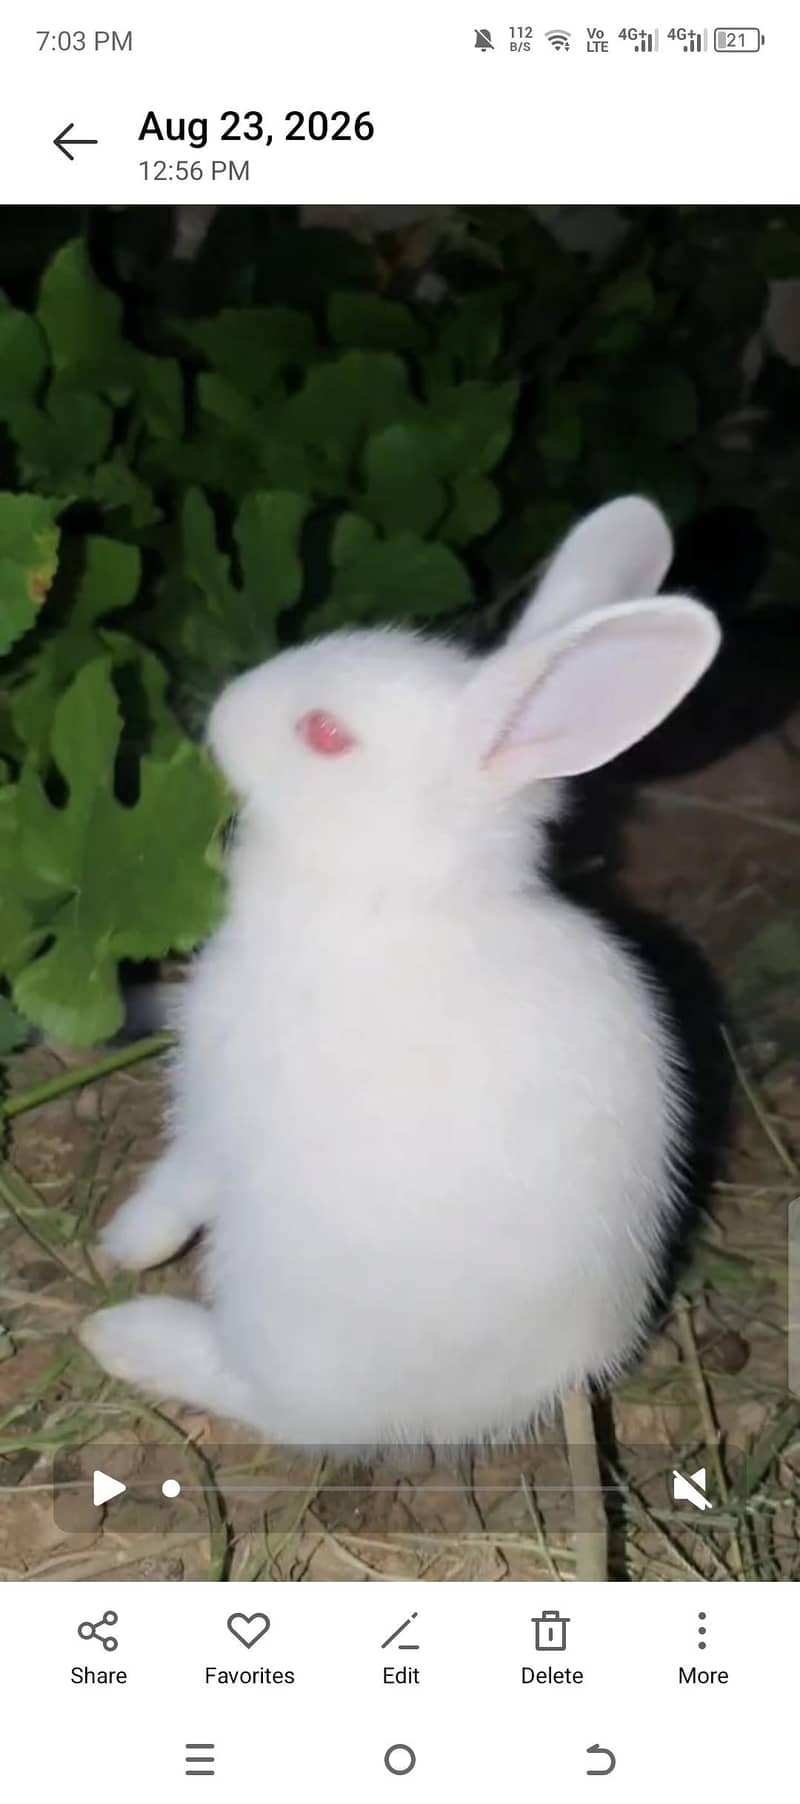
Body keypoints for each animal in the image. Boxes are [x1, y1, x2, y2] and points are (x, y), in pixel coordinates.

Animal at [80, 495, 721, 1449]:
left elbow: (177, 1183)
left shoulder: (216, 1106)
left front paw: (121, 1245)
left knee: (264, 1398)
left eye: (325, 734)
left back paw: (127, 1334)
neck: (388, 893)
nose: (225, 708)